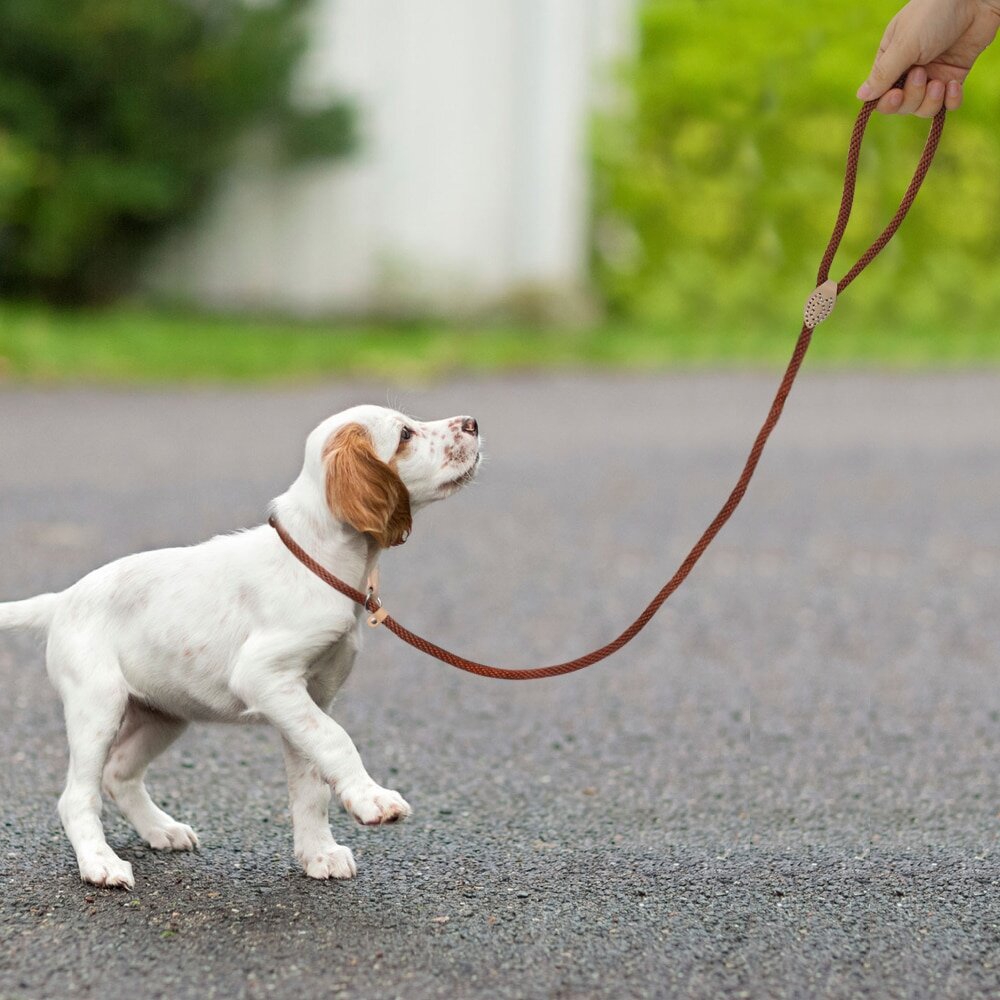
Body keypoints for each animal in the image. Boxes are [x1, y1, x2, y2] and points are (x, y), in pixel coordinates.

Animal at [0, 406, 480, 892]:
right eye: (404, 435)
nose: (473, 423)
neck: (317, 562)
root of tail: (62, 600)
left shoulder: (309, 697)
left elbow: (312, 781)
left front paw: (318, 853)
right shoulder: (264, 676)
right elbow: (336, 740)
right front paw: (372, 800)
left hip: (164, 713)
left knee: (119, 773)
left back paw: (161, 829)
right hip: (98, 706)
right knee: (77, 795)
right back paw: (100, 863)